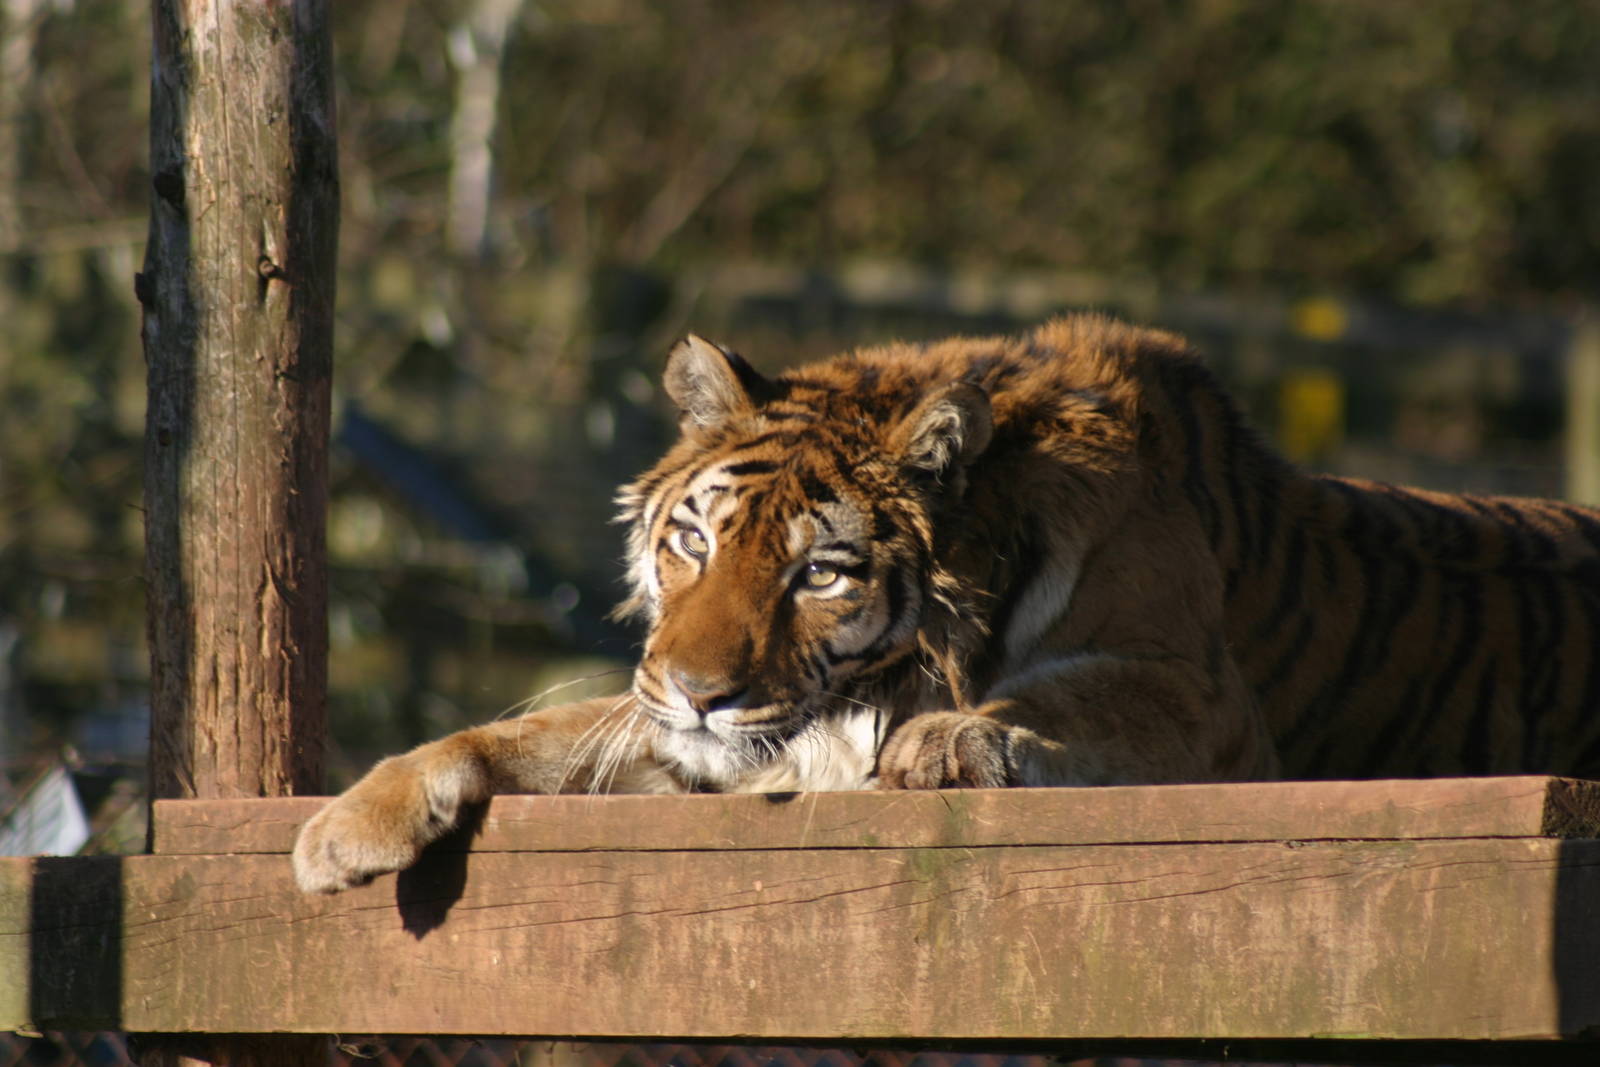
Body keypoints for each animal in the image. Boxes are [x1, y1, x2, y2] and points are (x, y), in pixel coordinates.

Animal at [293, 314, 1600, 894]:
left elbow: (1075, 699)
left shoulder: (1209, 704)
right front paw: (343, 825)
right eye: (694, 541)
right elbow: (519, 734)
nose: (698, 691)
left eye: (818, 572)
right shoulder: (695, 737)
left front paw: (953, 739)